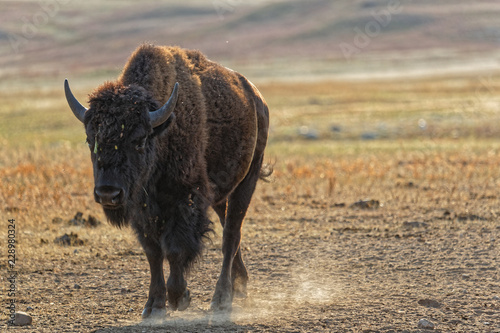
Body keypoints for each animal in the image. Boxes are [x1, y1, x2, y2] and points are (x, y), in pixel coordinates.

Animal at [65, 44, 272, 316]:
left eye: (140, 140)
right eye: (92, 140)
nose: (108, 193)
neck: (162, 131)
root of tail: (256, 97)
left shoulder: (184, 199)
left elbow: (174, 248)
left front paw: (178, 297)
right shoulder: (141, 209)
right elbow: (153, 252)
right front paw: (153, 306)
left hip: (248, 177)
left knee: (231, 235)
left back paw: (221, 298)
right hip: (221, 194)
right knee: (229, 227)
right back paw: (240, 285)